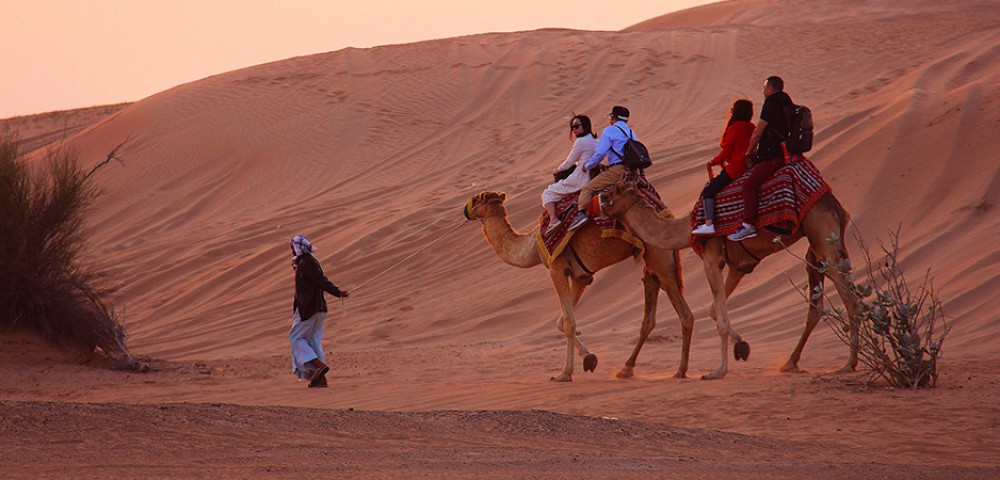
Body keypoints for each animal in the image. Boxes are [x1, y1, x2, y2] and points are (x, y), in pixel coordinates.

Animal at [466, 191, 696, 382]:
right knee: (649, 317)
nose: (466, 211)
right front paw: (589, 359)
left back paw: (680, 371)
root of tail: (668, 217)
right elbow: (562, 322)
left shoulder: (556, 268)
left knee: (685, 315)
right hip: (652, 266)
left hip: (659, 259)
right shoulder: (581, 275)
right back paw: (626, 369)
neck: (530, 245)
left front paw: (564, 373)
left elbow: (568, 323)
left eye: (477, 198)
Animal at [600, 181, 860, 378]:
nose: (599, 201)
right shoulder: (740, 265)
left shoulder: (711, 258)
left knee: (849, 298)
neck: (687, 229)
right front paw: (742, 347)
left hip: (822, 235)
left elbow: (720, 320)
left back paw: (849, 363)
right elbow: (714, 311)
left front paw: (718, 371)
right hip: (817, 249)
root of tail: (834, 204)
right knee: (818, 304)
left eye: (612, 192)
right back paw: (790, 362)